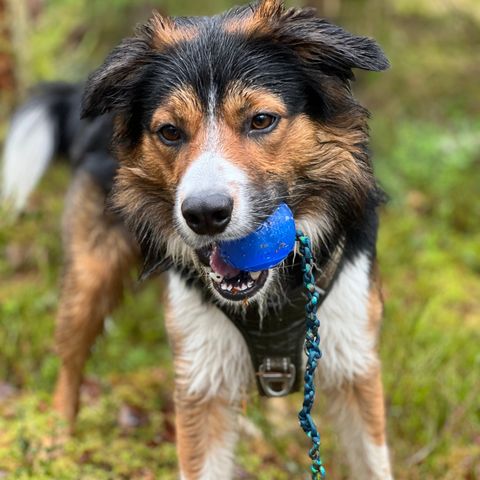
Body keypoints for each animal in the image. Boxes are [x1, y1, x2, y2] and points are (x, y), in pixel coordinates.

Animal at [1, 1, 394, 478]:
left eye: (261, 120)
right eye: (170, 131)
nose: (205, 214)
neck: (270, 296)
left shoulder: (353, 352)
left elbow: (372, 460)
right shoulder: (200, 372)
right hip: (90, 273)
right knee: (70, 357)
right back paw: (56, 439)